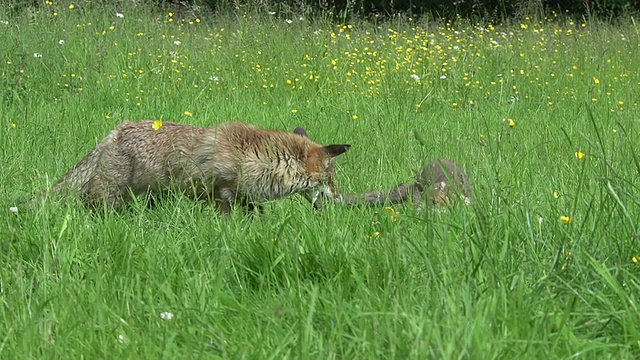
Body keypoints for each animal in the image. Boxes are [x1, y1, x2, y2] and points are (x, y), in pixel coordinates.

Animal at [40, 119, 350, 212]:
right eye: (330, 179)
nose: (339, 198)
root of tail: (116, 130)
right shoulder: (222, 194)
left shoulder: (245, 199)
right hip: (109, 195)